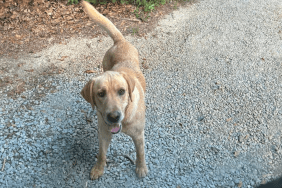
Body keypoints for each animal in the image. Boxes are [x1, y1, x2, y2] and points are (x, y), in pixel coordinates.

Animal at [80, 0, 149, 179]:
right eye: (100, 94)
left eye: (122, 91)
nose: (113, 117)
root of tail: (120, 41)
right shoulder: (103, 134)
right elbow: (101, 153)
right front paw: (99, 168)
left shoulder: (139, 135)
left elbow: (140, 153)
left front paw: (141, 167)